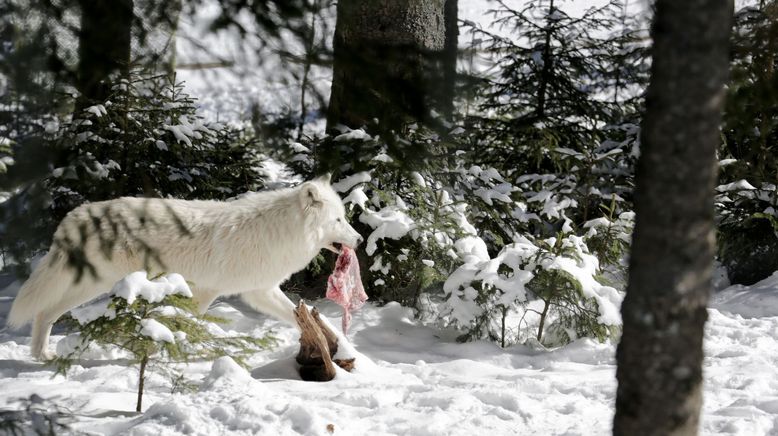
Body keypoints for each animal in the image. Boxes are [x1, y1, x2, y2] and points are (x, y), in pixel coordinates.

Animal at [6, 175, 364, 362]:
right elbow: (189, 321)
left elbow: (299, 317)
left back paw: (42, 354)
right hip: (90, 284)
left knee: (46, 312)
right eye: (338, 220)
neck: (281, 231)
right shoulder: (207, 290)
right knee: (45, 311)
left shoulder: (258, 291)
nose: (360, 239)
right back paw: (43, 355)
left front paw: (343, 348)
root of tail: (75, 215)